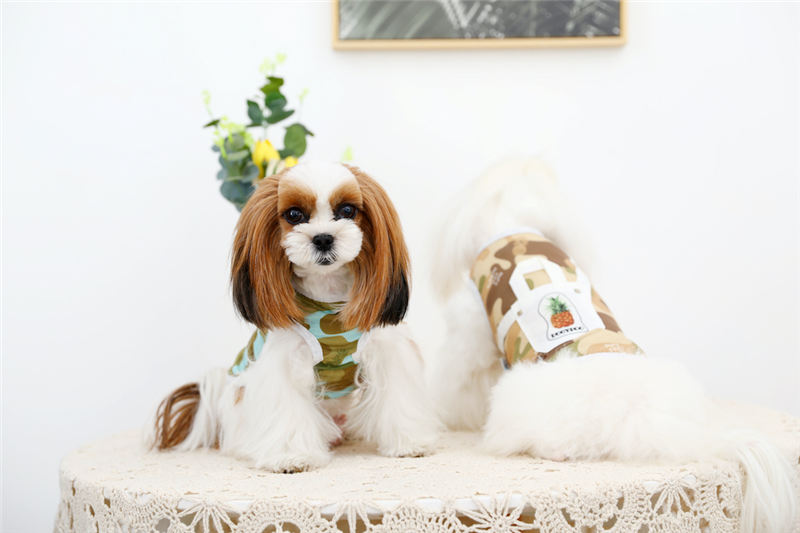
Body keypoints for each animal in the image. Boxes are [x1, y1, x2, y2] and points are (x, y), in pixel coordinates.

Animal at [148, 162, 439, 472]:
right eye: (294, 215)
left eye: (348, 210)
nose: (323, 238)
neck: (327, 294)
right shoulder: (284, 362)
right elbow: (287, 409)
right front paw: (292, 457)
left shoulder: (388, 349)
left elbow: (398, 397)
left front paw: (410, 443)